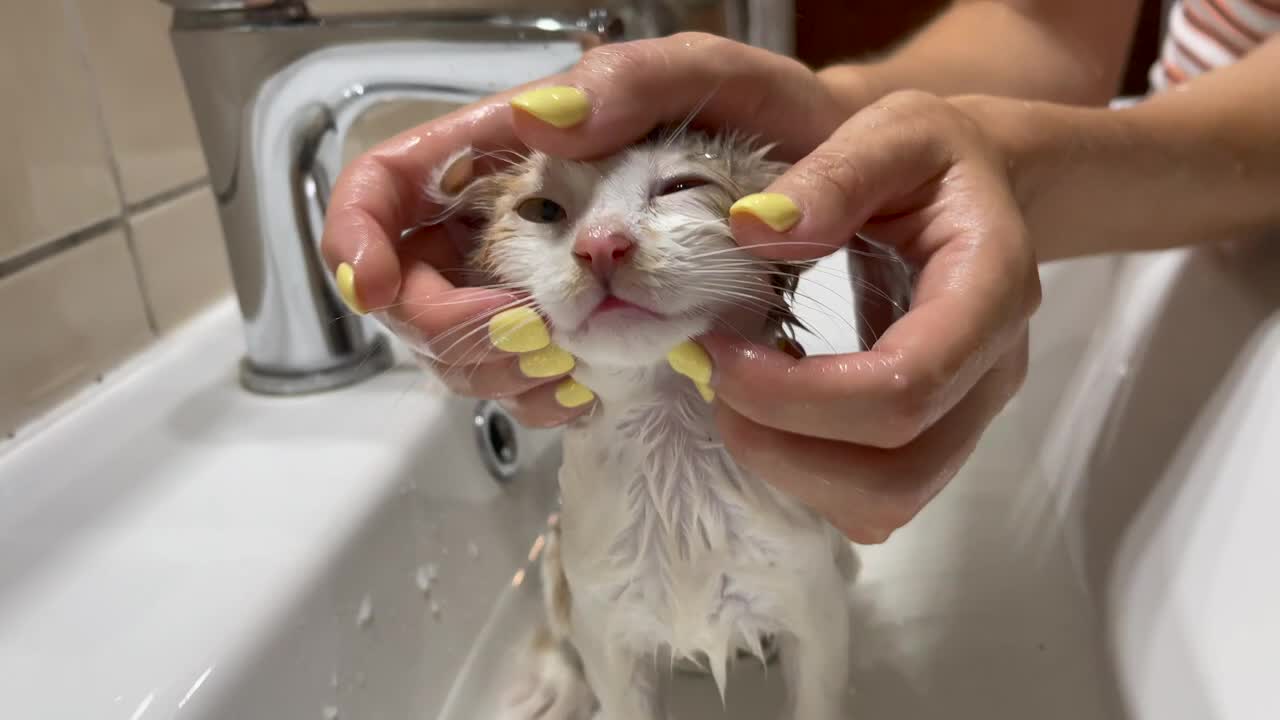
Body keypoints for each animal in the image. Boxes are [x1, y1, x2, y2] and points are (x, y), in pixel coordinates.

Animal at [409, 130, 855, 717]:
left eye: (682, 186)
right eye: (541, 209)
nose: (601, 244)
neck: (672, 454)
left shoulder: (811, 598)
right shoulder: (606, 625)